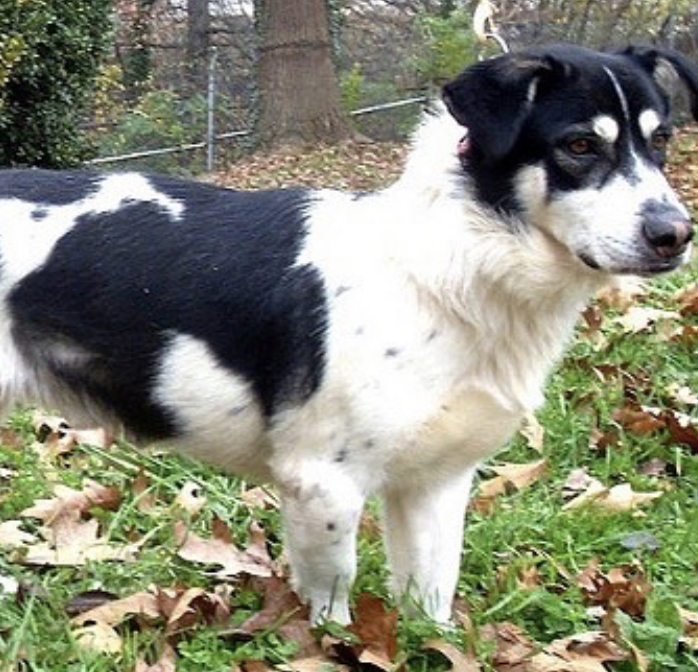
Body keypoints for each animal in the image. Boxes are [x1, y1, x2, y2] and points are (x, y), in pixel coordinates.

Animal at [1, 43, 696, 624]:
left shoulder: (437, 483)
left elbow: (430, 602)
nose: (675, 235)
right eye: (578, 145)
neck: (446, 269)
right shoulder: (322, 483)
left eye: (661, 140)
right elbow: (332, 611)